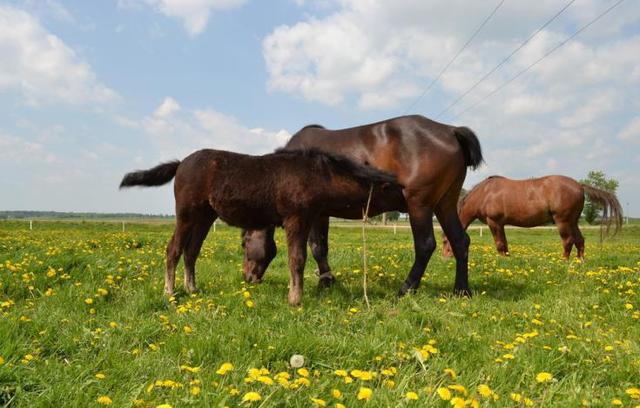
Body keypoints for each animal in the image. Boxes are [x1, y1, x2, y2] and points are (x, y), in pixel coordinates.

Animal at [117, 148, 402, 304]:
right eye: (391, 188)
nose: (408, 198)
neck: (315, 176)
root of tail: (180, 164)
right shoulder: (295, 219)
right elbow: (297, 259)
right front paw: (295, 300)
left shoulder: (308, 219)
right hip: (186, 214)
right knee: (173, 250)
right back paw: (170, 292)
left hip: (205, 217)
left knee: (191, 252)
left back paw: (192, 289)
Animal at [242, 115, 482, 296]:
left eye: (244, 243)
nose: (247, 277)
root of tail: (450, 130)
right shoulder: (322, 213)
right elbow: (322, 247)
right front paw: (327, 280)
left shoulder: (311, 213)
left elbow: (316, 248)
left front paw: (325, 282)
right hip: (445, 204)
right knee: (460, 241)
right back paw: (461, 290)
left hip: (419, 204)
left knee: (425, 245)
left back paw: (405, 288)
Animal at [442, 175, 624, 258]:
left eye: (445, 241)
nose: (445, 258)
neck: (485, 194)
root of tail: (579, 185)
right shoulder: (500, 224)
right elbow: (505, 244)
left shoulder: (494, 222)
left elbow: (500, 244)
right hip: (573, 221)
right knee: (580, 241)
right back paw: (579, 263)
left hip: (563, 221)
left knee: (568, 241)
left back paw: (564, 262)